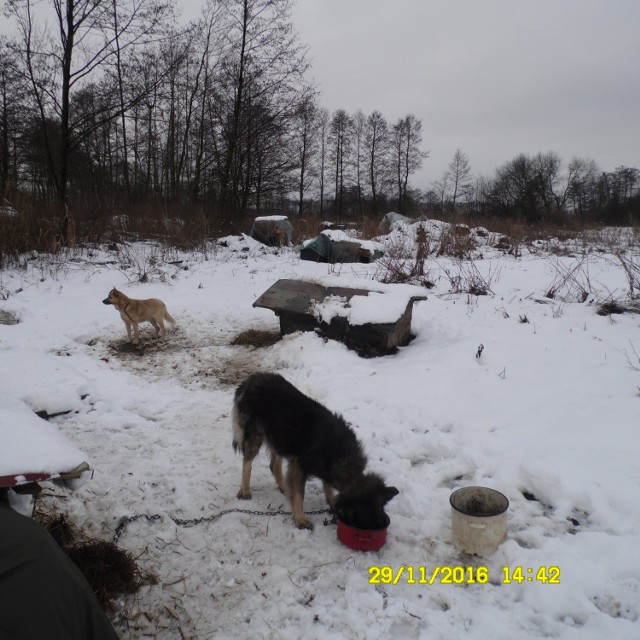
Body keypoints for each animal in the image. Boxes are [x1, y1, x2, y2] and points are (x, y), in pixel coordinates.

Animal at [231, 370, 400, 528]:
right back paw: (245, 490)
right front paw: (300, 518)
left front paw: (331, 502)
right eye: (364, 518)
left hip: (281, 437)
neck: (340, 453)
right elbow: (300, 494)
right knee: (247, 462)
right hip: (256, 436)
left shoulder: (323, 468)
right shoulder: (299, 464)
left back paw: (284, 487)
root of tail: (250, 380)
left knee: (274, 465)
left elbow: (327, 486)